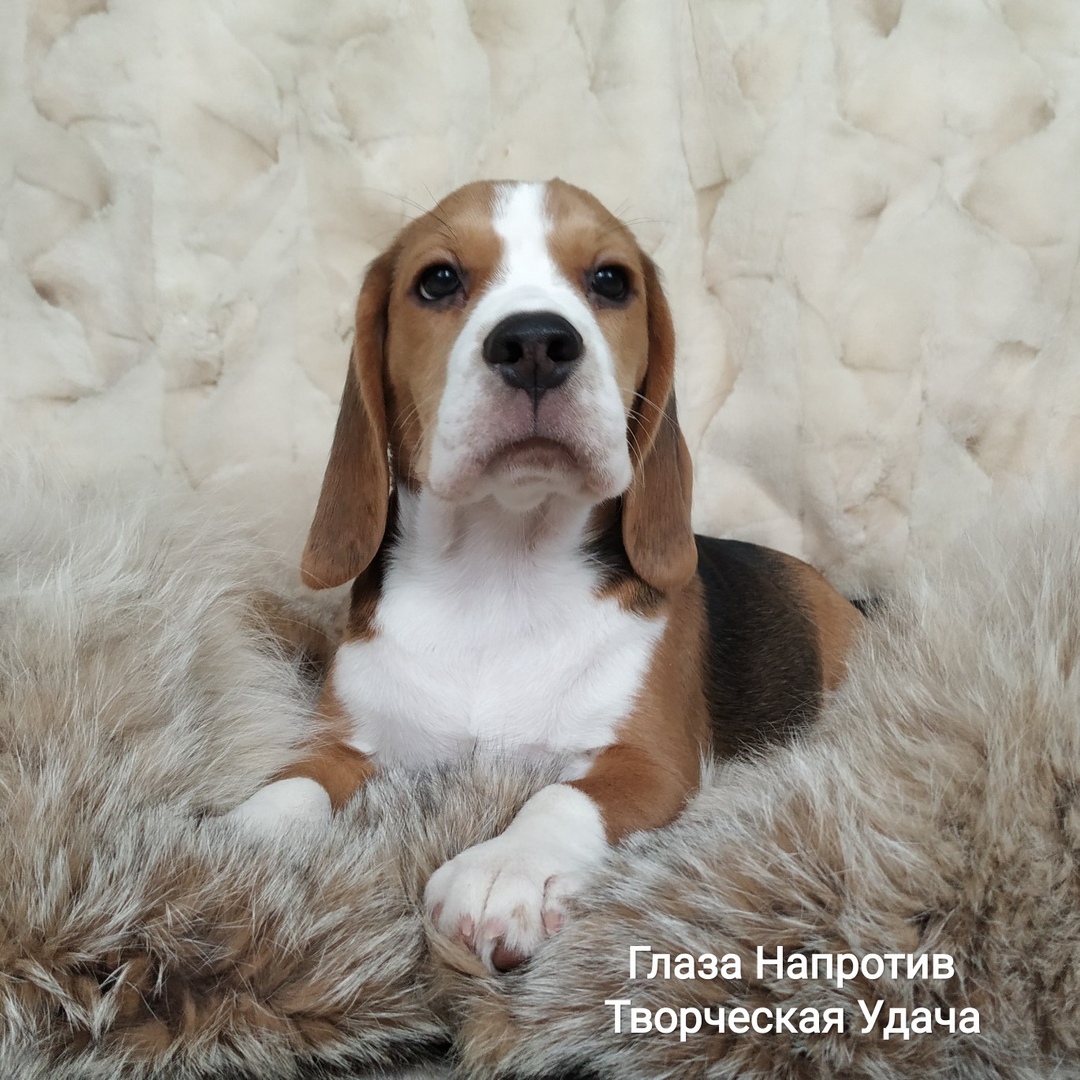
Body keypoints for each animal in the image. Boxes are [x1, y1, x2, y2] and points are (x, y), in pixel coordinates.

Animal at [230, 179, 863, 972]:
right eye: (438, 280)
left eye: (611, 280)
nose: (535, 342)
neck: (499, 571)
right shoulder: (345, 745)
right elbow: (292, 785)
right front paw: (237, 837)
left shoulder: (649, 763)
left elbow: (558, 798)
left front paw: (505, 870)